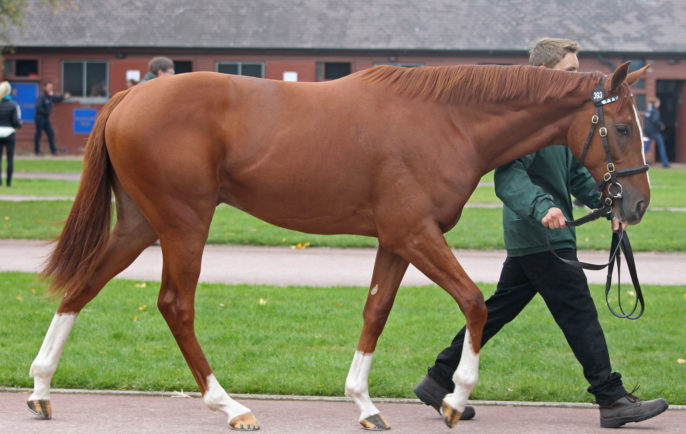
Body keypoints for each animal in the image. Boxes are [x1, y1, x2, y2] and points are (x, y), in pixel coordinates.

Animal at [26, 62, 652, 430]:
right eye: (622, 127)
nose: (637, 204)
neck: (446, 121)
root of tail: (127, 98)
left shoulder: (397, 240)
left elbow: (376, 311)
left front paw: (365, 403)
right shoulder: (416, 233)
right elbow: (474, 302)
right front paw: (454, 399)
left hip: (140, 224)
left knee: (83, 286)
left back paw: (40, 386)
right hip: (184, 222)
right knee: (175, 305)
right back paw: (230, 406)